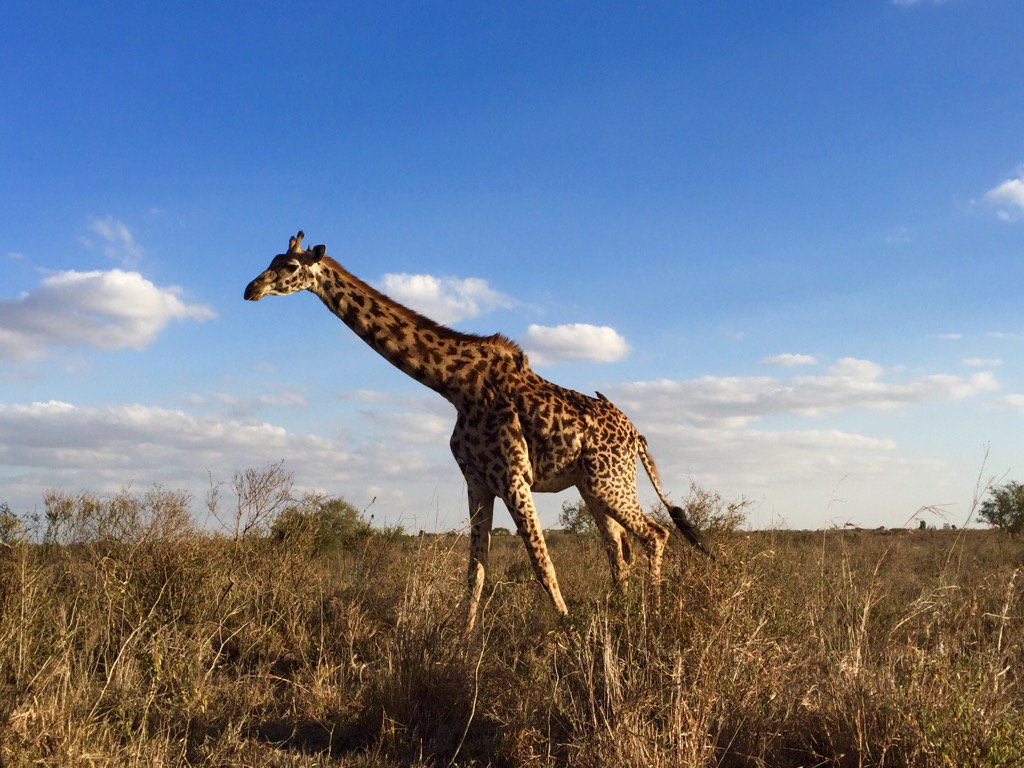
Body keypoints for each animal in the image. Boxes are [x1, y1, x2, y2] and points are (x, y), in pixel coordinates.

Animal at [244, 231, 711, 631]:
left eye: (289, 266)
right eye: (270, 260)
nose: (250, 289)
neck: (454, 385)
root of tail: (637, 436)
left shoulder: (515, 478)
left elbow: (542, 565)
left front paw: (568, 629)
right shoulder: (477, 482)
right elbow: (475, 571)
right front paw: (462, 642)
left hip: (610, 482)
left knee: (655, 535)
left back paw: (652, 617)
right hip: (592, 486)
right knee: (618, 550)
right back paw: (623, 613)